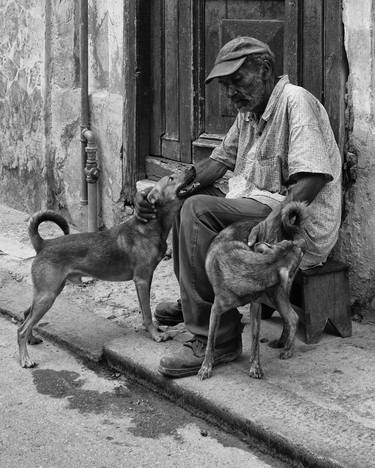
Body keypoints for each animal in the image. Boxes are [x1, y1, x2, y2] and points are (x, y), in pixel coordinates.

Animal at [17, 166, 195, 368]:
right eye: (171, 178)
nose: (193, 167)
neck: (150, 226)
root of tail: (43, 244)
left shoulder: (143, 281)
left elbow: (145, 311)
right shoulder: (142, 279)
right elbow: (148, 314)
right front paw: (156, 335)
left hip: (48, 291)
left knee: (26, 314)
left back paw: (32, 339)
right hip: (48, 294)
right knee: (22, 328)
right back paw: (25, 359)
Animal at [198, 201, 306, 380]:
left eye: (299, 252)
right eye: (286, 244)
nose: (302, 244)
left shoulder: (256, 307)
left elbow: (255, 340)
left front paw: (256, 366)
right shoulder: (216, 310)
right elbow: (211, 340)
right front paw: (206, 366)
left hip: (275, 295)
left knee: (293, 317)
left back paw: (288, 349)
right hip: (274, 295)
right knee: (290, 317)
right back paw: (282, 342)